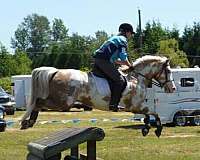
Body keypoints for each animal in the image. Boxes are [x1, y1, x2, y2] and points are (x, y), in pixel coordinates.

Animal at [21, 55, 176, 137]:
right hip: (63, 102)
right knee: (39, 102)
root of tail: (56, 71)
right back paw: (28, 122)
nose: (173, 88)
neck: (136, 78)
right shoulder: (135, 106)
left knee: (39, 102)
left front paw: (146, 129)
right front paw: (157, 129)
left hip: (62, 101)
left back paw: (28, 122)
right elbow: (153, 113)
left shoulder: (136, 107)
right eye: (168, 71)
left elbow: (148, 115)